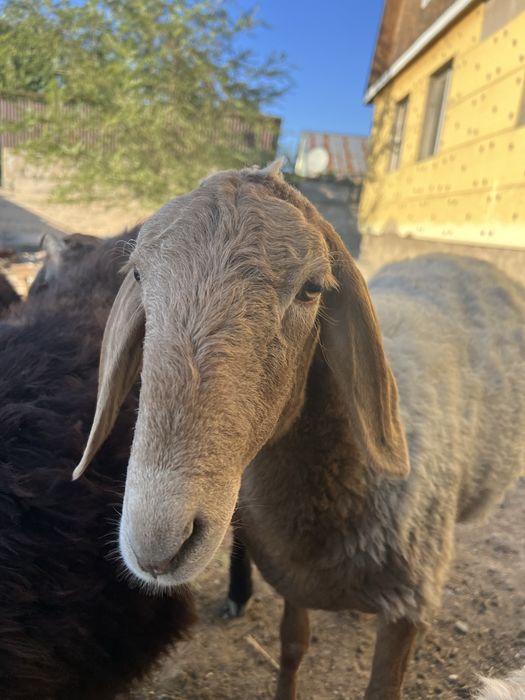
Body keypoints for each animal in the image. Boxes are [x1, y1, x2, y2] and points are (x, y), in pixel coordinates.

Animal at [75, 163, 525, 700]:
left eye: (313, 288)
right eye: (139, 273)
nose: (157, 542)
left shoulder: (407, 608)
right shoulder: (294, 580)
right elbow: (292, 647)